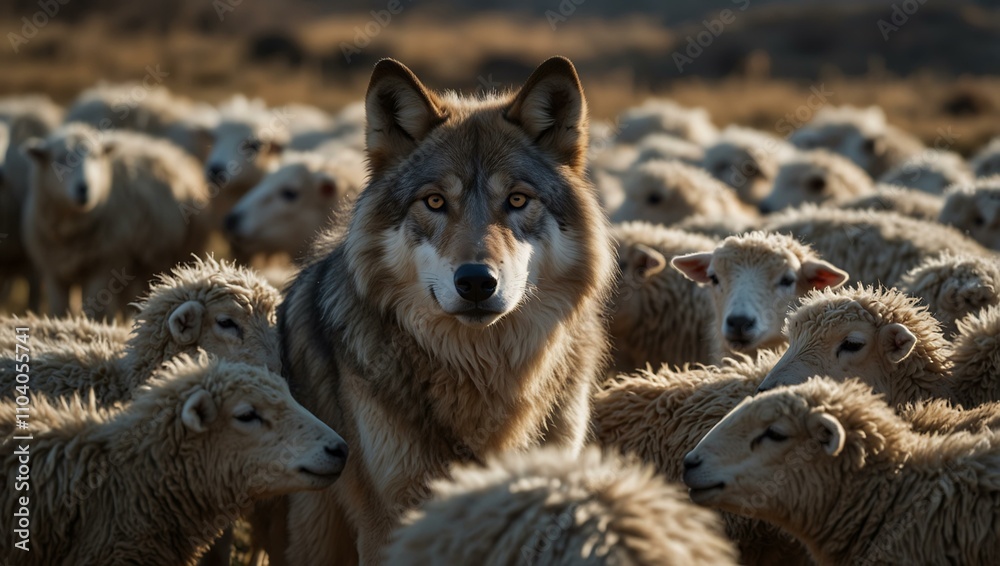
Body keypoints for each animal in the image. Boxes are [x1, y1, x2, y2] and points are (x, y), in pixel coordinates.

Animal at [21, 123, 211, 318]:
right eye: (60, 158)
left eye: (95, 156)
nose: (84, 188)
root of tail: (171, 150)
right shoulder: (54, 273)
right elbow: (58, 310)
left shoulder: (104, 266)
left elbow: (94, 310)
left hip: (183, 251)